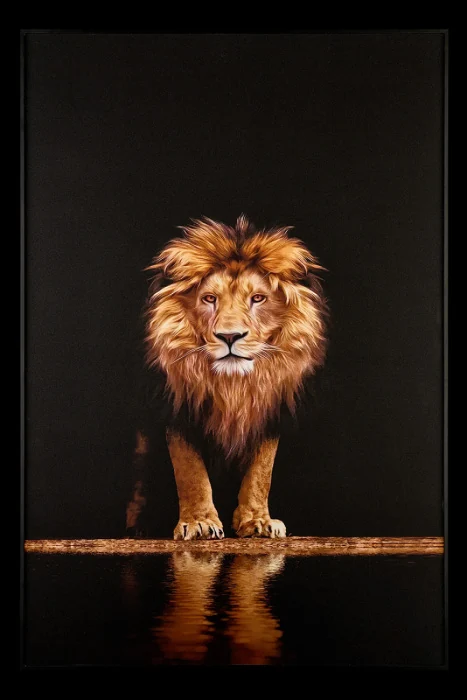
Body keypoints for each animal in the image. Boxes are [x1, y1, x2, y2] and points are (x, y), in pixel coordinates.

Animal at [126, 215, 327, 540]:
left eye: (258, 298)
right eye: (209, 298)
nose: (230, 336)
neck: (233, 385)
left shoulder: (268, 411)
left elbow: (261, 472)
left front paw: (258, 521)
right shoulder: (179, 410)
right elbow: (190, 471)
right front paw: (198, 522)